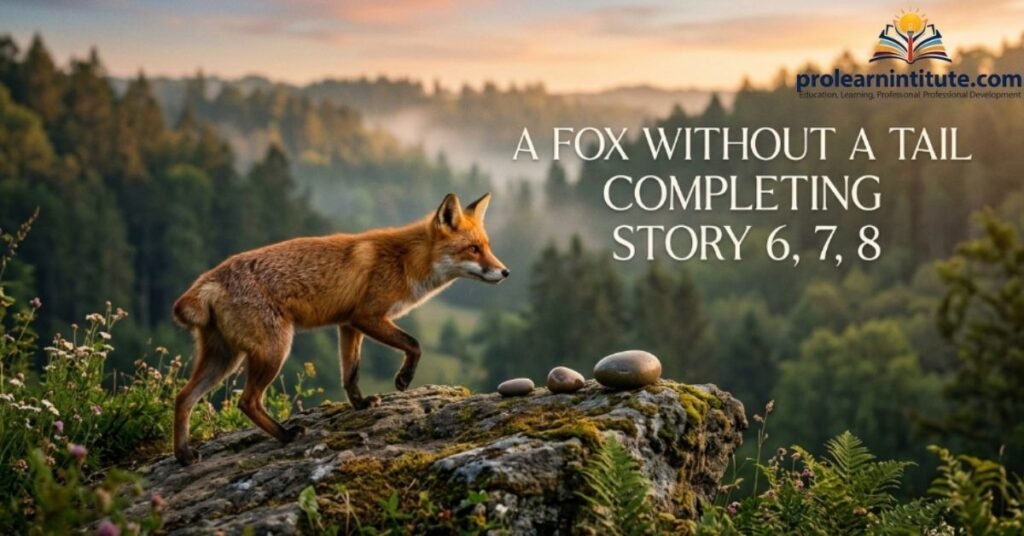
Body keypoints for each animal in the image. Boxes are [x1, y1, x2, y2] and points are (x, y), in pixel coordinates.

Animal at [170, 193, 507, 465]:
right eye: (473, 249)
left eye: (488, 247)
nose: (505, 272)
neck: (405, 260)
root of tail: (208, 281)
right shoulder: (367, 317)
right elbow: (414, 344)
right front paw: (403, 379)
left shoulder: (348, 325)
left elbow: (351, 374)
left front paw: (360, 404)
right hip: (273, 350)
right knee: (247, 401)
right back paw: (285, 435)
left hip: (224, 358)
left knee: (183, 397)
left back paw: (184, 455)